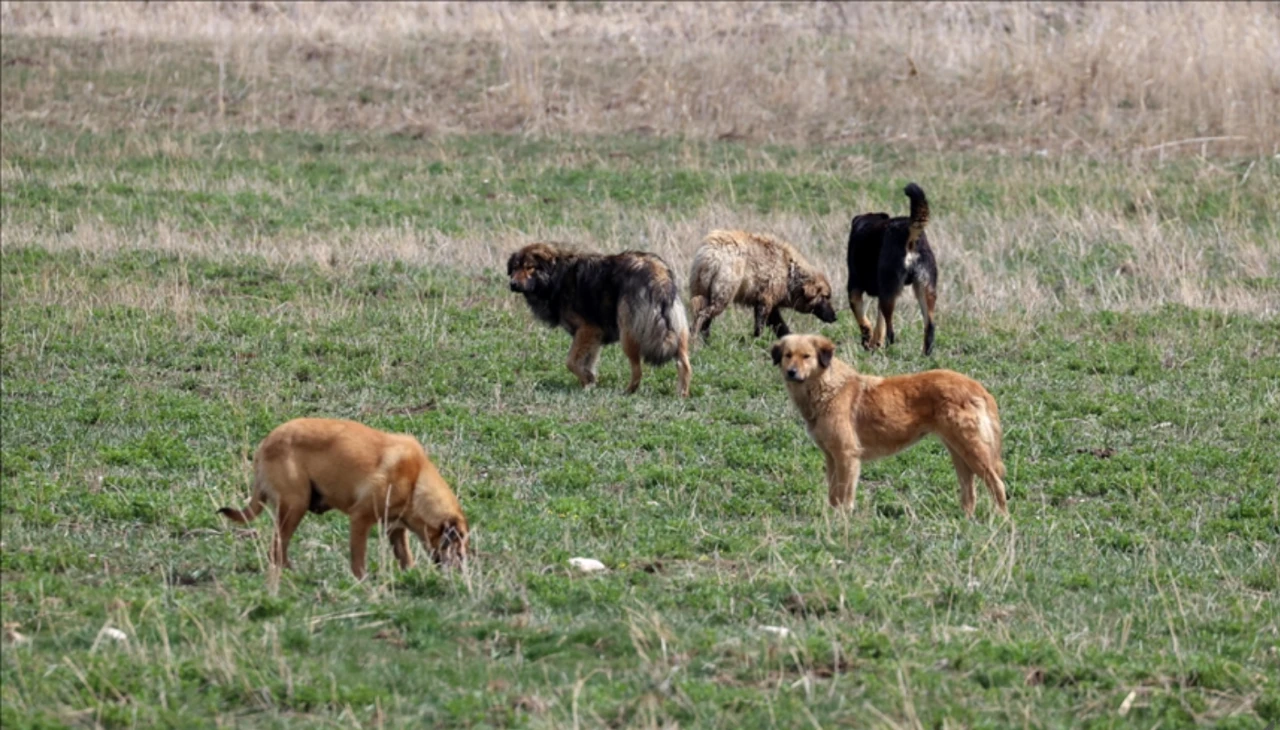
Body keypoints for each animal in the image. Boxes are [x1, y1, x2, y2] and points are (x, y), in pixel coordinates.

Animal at [506, 242, 696, 394]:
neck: (557, 276)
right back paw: (682, 394)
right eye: (515, 268)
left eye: (530, 267)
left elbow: (571, 362)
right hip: (678, 331)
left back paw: (628, 391)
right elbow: (585, 362)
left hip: (628, 334)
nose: (512, 284)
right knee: (684, 364)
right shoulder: (594, 336)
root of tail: (658, 274)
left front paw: (588, 380)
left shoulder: (587, 330)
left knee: (638, 369)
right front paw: (588, 384)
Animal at [844, 183, 936, 356]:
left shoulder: (854, 287)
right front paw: (874, 343)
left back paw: (888, 348)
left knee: (891, 330)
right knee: (930, 327)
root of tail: (909, 232)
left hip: (889, 287)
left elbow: (863, 319)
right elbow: (878, 323)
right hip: (925, 289)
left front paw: (867, 340)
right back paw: (924, 355)